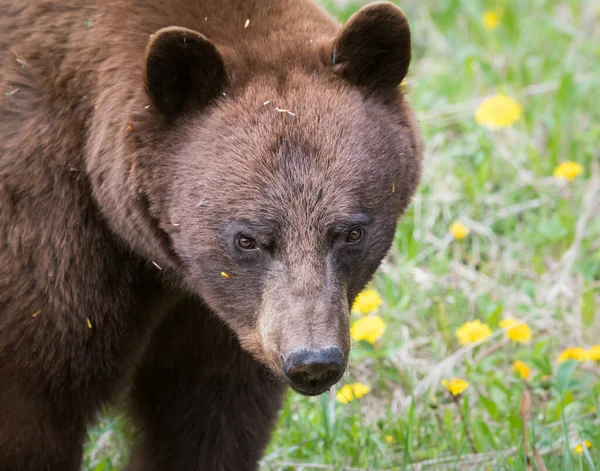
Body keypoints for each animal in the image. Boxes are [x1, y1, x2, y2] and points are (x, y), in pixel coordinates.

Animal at [0, 0, 422, 470]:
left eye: (351, 232)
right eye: (247, 239)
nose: (313, 362)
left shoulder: (230, 320)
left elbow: (209, 416)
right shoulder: (49, 230)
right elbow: (35, 403)